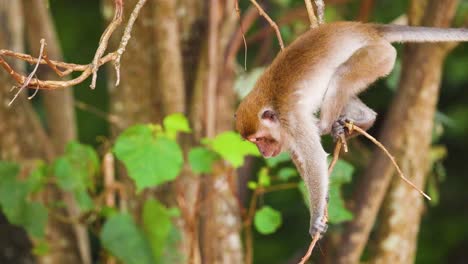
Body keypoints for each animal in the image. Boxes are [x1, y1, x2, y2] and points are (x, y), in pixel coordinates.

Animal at [236, 21, 468, 236]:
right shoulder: (287, 133)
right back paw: (364, 119)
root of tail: (369, 30)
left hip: (377, 56)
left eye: (259, 139)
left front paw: (315, 217)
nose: (263, 152)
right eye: (253, 142)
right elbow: (299, 157)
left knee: (342, 74)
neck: (273, 104)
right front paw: (324, 197)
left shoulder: (293, 121)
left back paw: (326, 126)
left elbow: (314, 158)